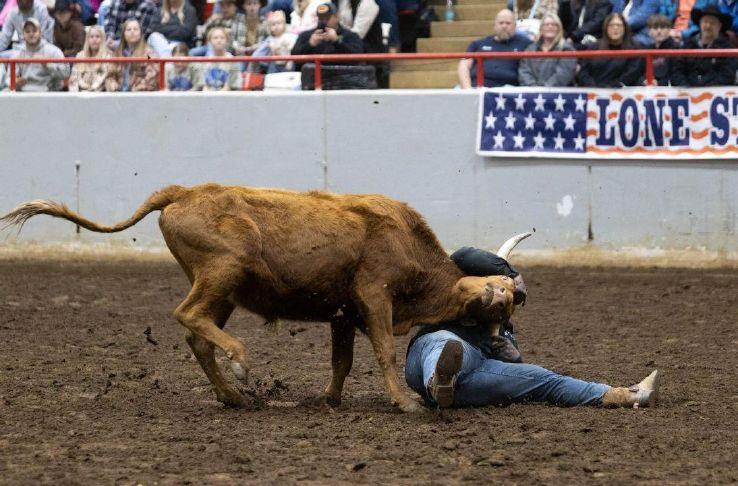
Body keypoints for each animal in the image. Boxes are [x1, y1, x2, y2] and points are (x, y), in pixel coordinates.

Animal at [0, 184, 528, 412]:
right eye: (500, 304)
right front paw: (404, 401)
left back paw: (232, 395)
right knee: (186, 315)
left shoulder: (342, 312)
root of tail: (183, 191)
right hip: (223, 270)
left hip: (224, 288)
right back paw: (240, 364)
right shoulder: (374, 296)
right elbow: (383, 350)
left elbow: (342, 360)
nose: (508, 349)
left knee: (198, 335)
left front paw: (330, 399)